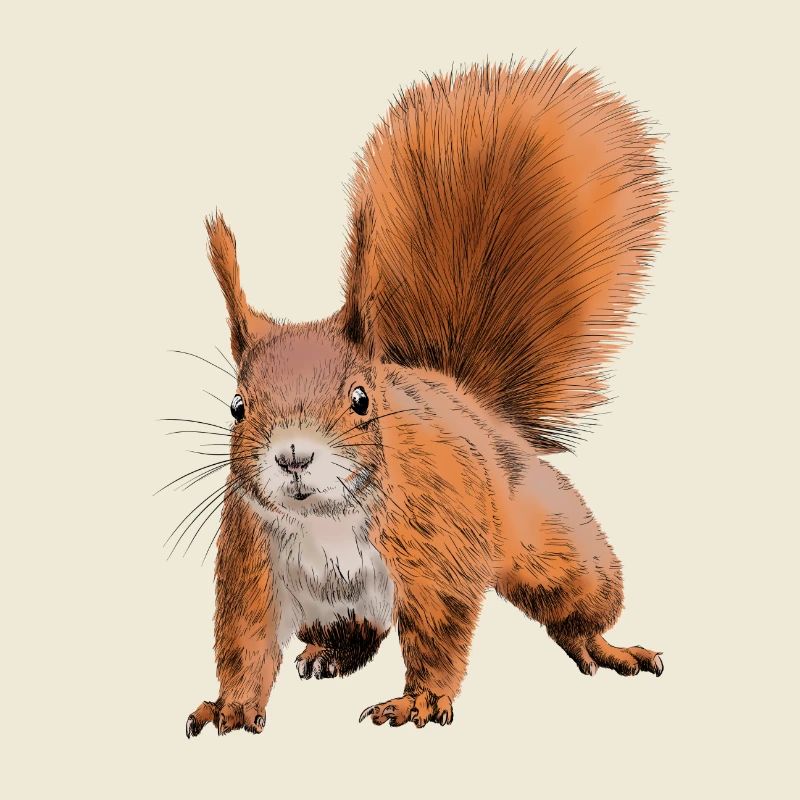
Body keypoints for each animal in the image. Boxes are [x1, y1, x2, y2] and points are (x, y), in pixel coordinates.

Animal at [182, 56, 666, 737]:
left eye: (361, 399)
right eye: (237, 406)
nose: (294, 456)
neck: (325, 520)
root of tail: (465, 396)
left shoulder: (438, 542)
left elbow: (439, 629)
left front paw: (418, 703)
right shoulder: (252, 559)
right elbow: (244, 640)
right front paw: (230, 706)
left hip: (549, 538)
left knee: (575, 597)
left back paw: (604, 644)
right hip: (333, 607)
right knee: (358, 633)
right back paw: (327, 653)